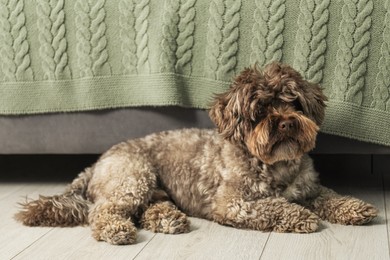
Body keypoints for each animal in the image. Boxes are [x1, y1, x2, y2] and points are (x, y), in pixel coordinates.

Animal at [15, 62, 378, 245]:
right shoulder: (233, 203)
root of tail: (98, 162)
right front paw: (301, 216)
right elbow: (274, 206)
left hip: (151, 187)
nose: (287, 123)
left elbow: (331, 196)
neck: (276, 165)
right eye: (260, 110)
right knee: (103, 211)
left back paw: (169, 218)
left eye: (293, 102)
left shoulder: (310, 188)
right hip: (133, 177)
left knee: (145, 208)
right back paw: (117, 230)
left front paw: (355, 207)